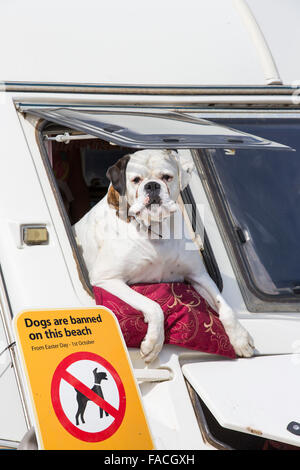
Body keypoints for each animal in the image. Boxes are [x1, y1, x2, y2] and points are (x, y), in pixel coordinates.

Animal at [74, 149, 254, 362]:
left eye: (166, 177)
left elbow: (224, 306)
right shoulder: (107, 278)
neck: (156, 228)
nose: (152, 185)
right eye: (136, 180)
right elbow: (153, 305)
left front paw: (240, 338)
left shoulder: (198, 275)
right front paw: (154, 342)